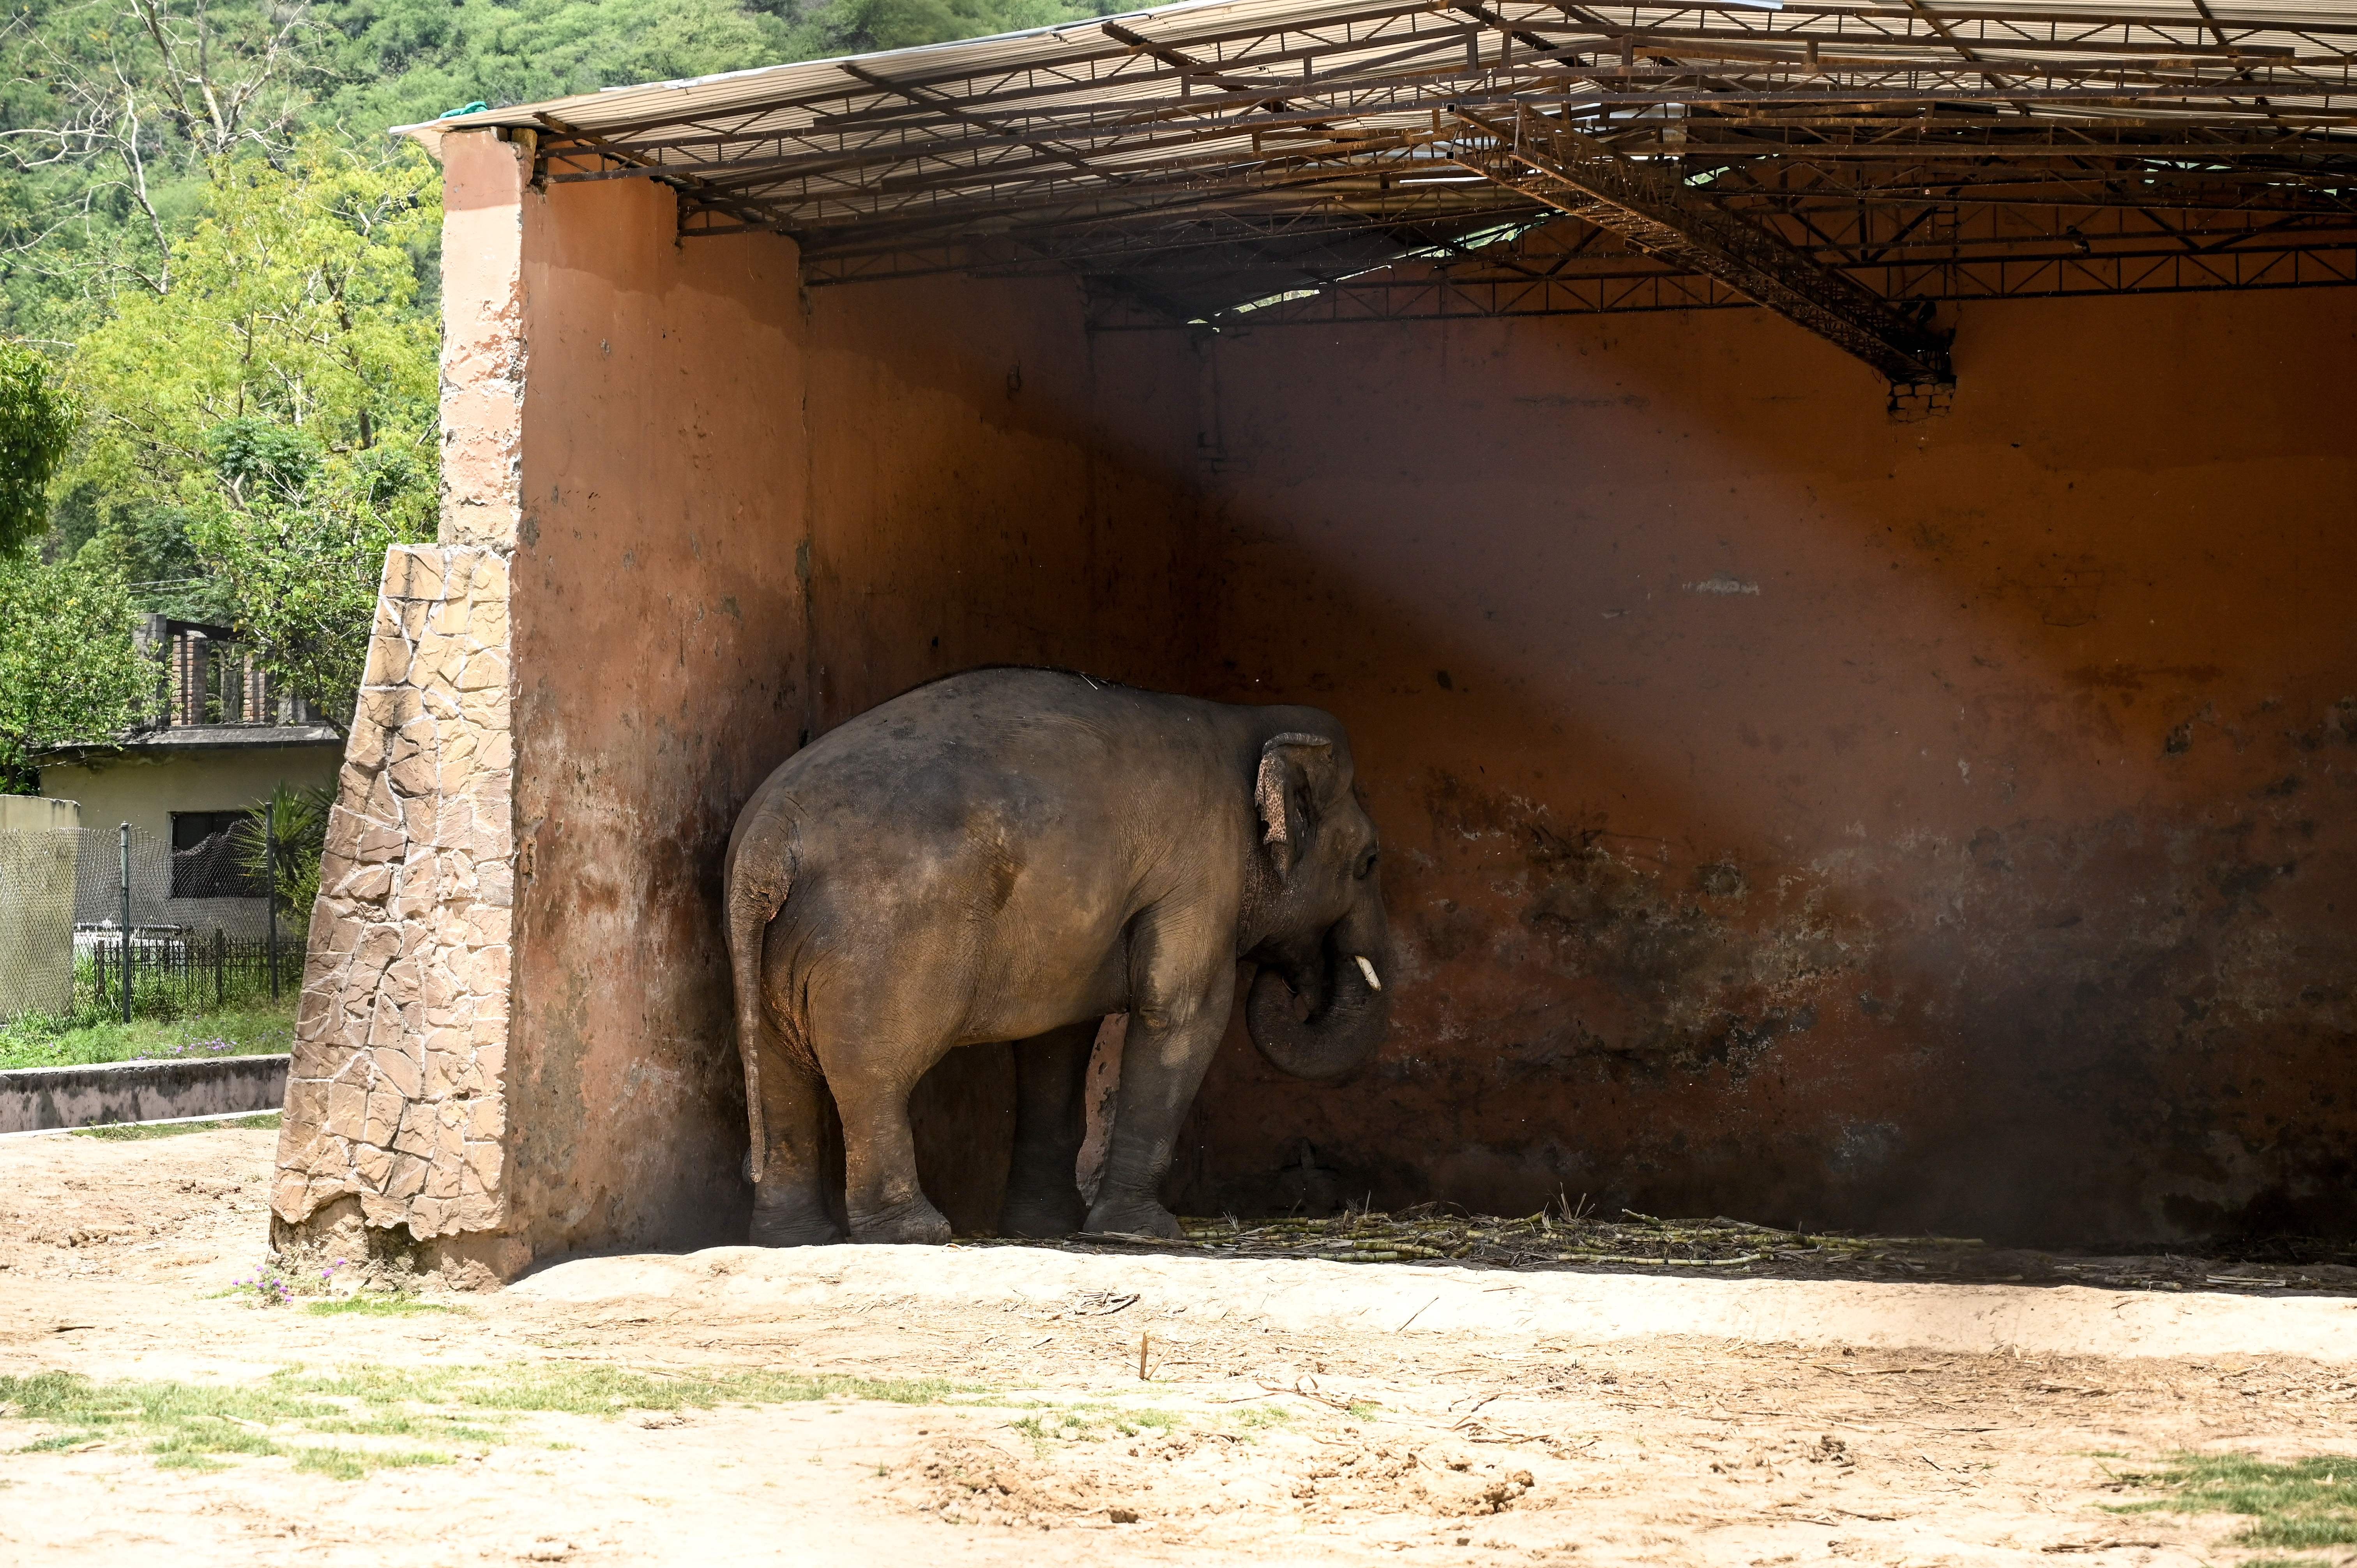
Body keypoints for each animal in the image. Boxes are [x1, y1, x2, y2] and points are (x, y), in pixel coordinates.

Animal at [712, 665, 1376, 1245]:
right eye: (1369, 863)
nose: (1291, 982)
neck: (1246, 724)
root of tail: (769, 839)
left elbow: (1057, 1040)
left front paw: (1048, 1227)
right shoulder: (1203, 864)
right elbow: (1181, 1010)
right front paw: (1140, 1233)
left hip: (770, 951)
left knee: (780, 1074)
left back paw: (795, 1240)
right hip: (876, 947)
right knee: (873, 1072)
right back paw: (916, 1234)